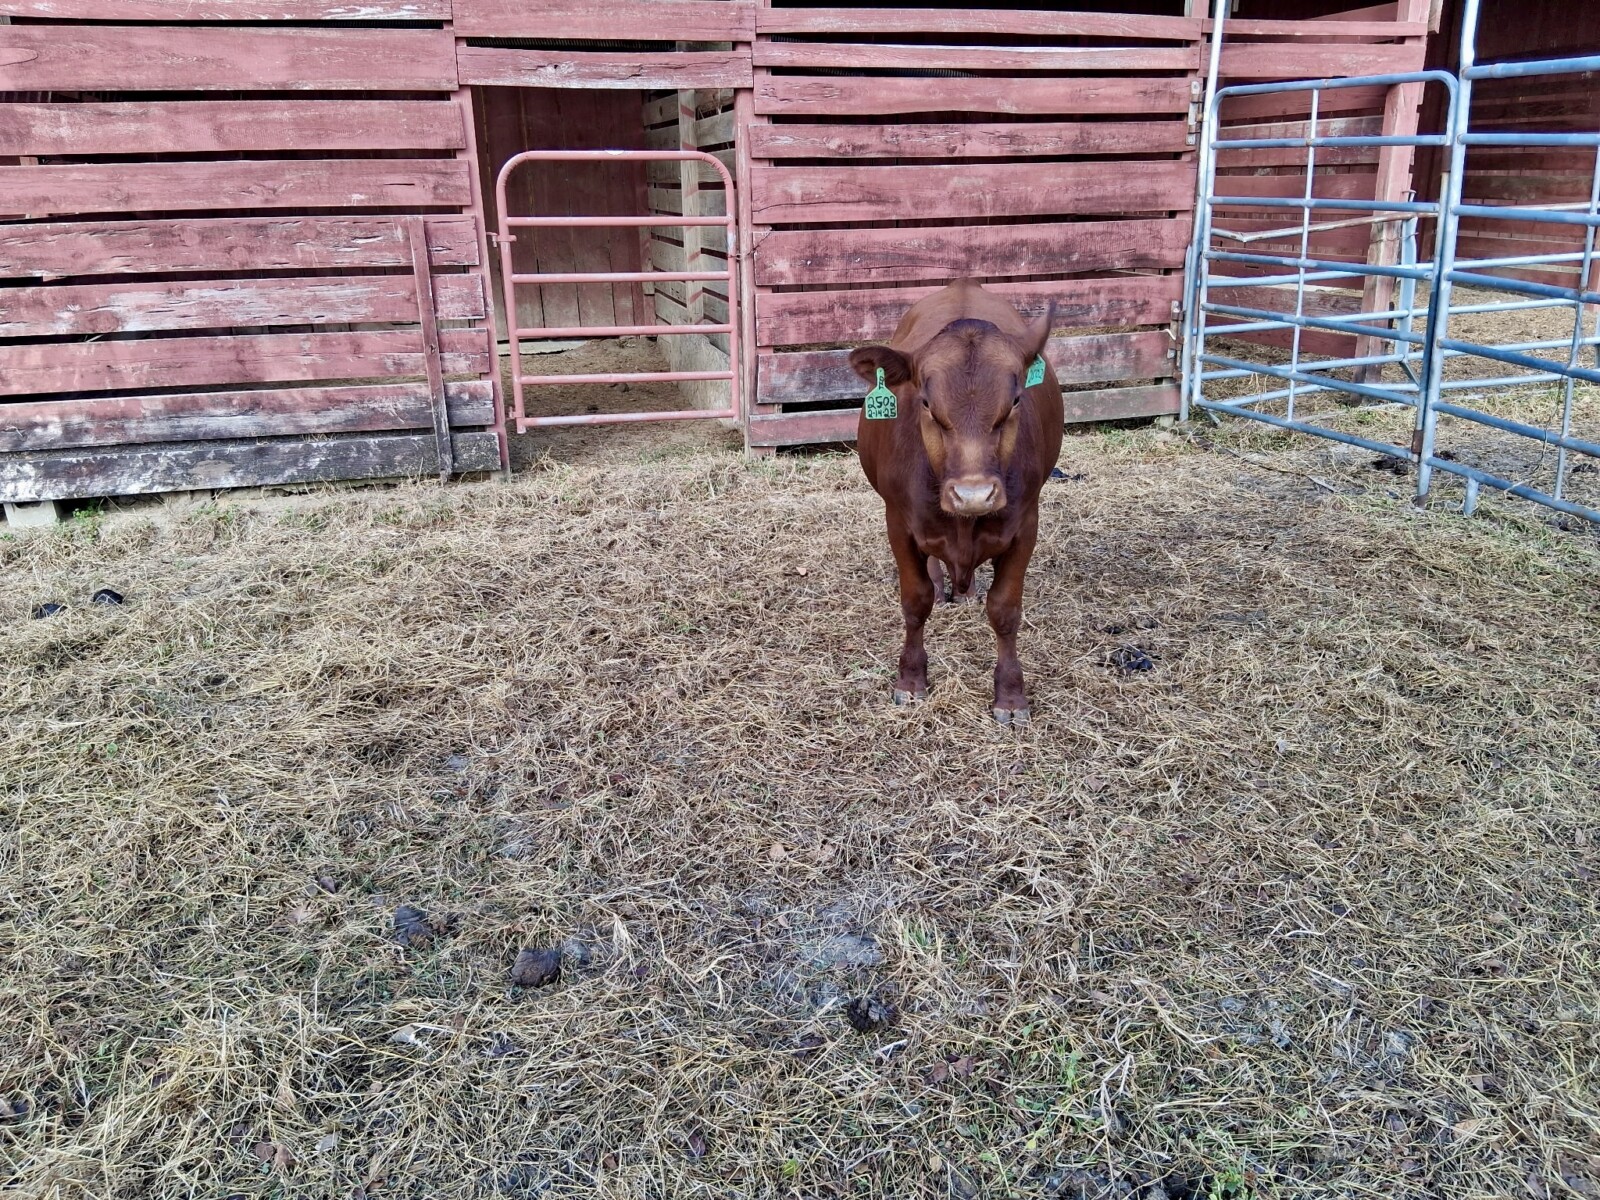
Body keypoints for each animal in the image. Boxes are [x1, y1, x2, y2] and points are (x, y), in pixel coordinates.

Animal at [851, 279, 1063, 725]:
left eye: (1015, 400)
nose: (973, 494)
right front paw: (911, 680)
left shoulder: (1025, 526)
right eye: (927, 404)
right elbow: (915, 602)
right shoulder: (898, 523)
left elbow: (1005, 610)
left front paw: (1010, 696)